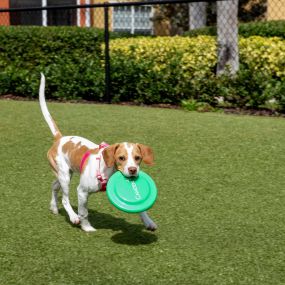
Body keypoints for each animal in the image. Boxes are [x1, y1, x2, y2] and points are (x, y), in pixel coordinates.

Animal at [38, 74, 156, 232]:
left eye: (138, 158)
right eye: (121, 158)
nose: (133, 170)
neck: (108, 170)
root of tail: (59, 138)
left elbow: (141, 208)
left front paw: (148, 221)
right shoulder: (82, 191)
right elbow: (83, 212)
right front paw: (86, 227)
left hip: (65, 173)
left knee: (54, 186)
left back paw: (54, 207)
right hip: (65, 176)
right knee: (65, 199)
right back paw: (73, 217)